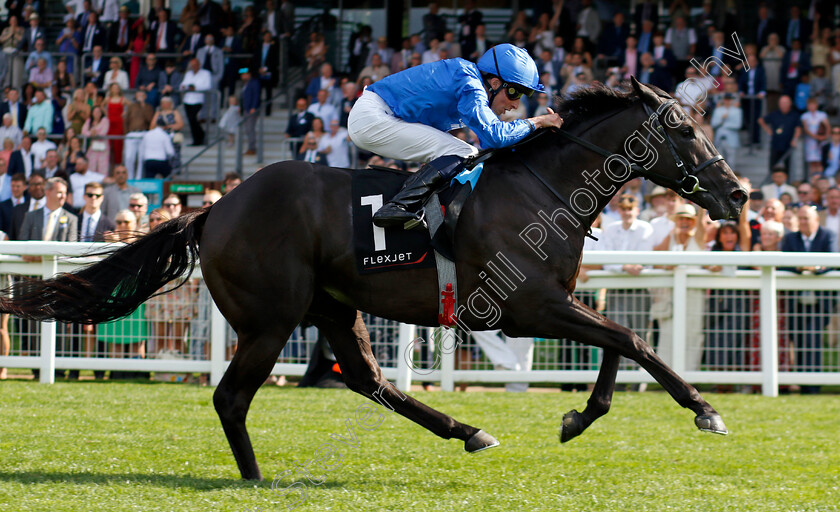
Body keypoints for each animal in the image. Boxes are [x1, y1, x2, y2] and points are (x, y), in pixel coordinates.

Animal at [0, 79, 748, 480]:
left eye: (707, 123)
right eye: (684, 130)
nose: (738, 192)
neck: (544, 187)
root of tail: (215, 206)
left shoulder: (553, 303)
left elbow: (620, 344)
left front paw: (577, 416)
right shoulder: (526, 306)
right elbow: (633, 341)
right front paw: (705, 410)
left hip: (333, 306)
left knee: (367, 379)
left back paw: (466, 430)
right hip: (270, 320)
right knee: (233, 397)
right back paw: (255, 476)